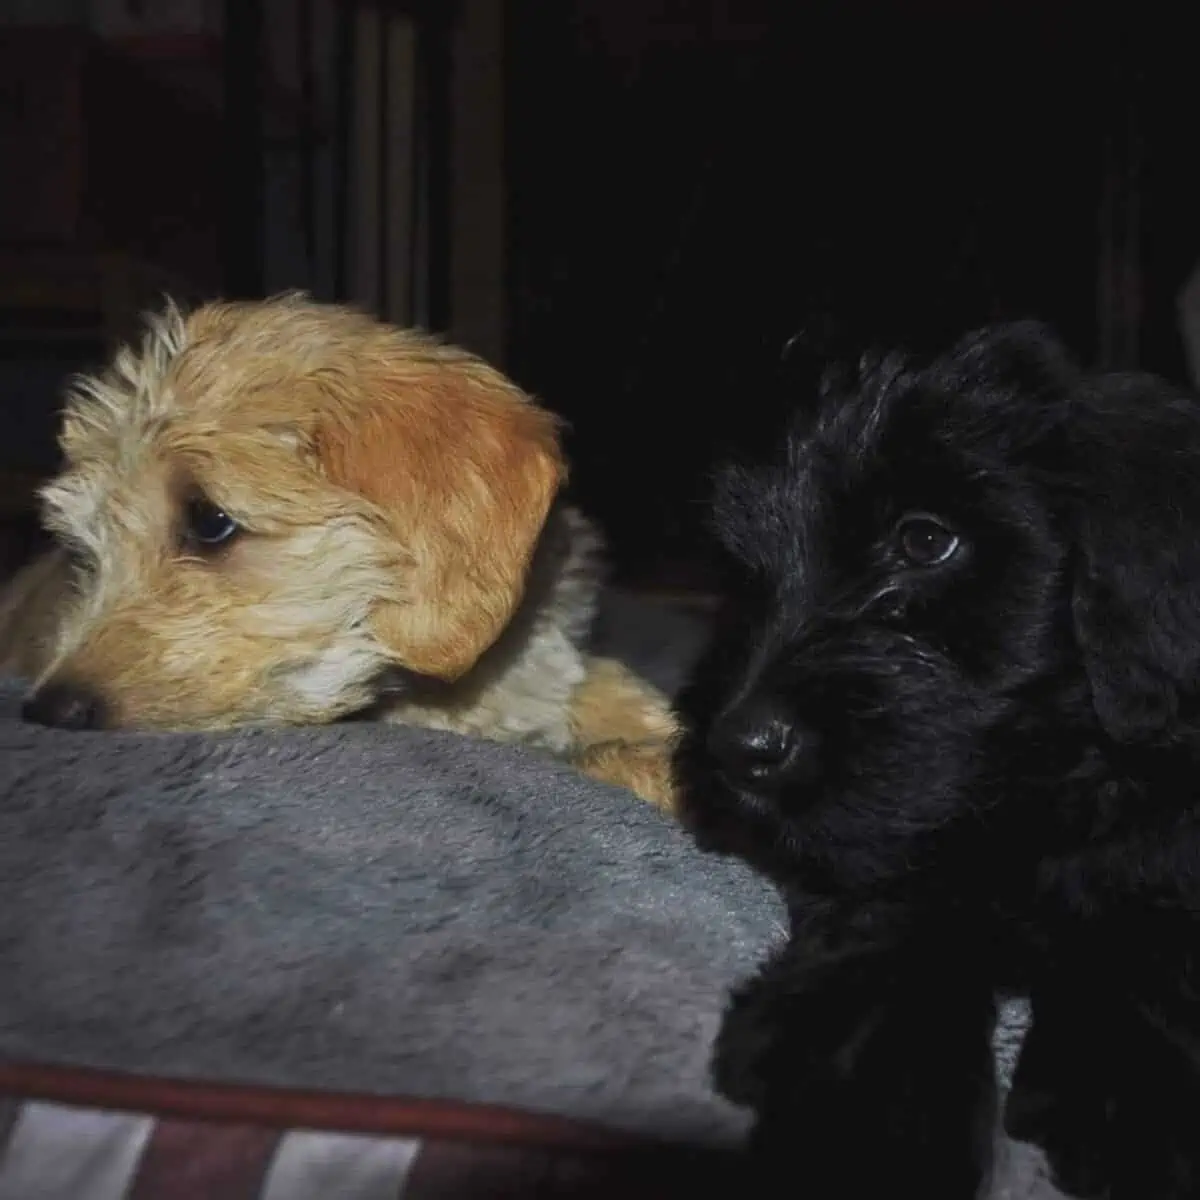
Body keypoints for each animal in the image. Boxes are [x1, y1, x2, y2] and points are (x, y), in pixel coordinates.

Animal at [676, 321, 1200, 1200]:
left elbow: (1141, 910)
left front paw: (1131, 1094)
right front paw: (871, 1117)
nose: (737, 748)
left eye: (925, 540)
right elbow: (894, 920)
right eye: (744, 569)